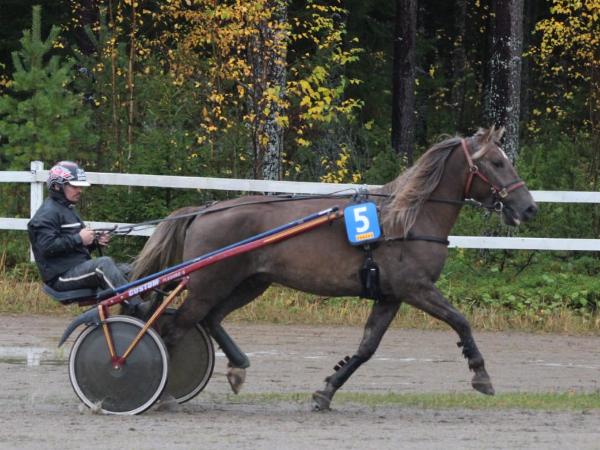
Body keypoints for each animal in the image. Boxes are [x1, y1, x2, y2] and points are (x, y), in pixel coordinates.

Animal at [131, 126, 538, 410]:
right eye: (497, 162)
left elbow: (367, 347)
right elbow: (461, 321)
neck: (408, 217)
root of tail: (205, 210)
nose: (529, 207)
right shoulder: (416, 288)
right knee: (171, 328)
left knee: (210, 318)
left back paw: (236, 367)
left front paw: (326, 391)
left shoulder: (390, 295)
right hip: (208, 283)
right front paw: (481, 375)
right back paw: (160, 392)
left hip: (249, 283)